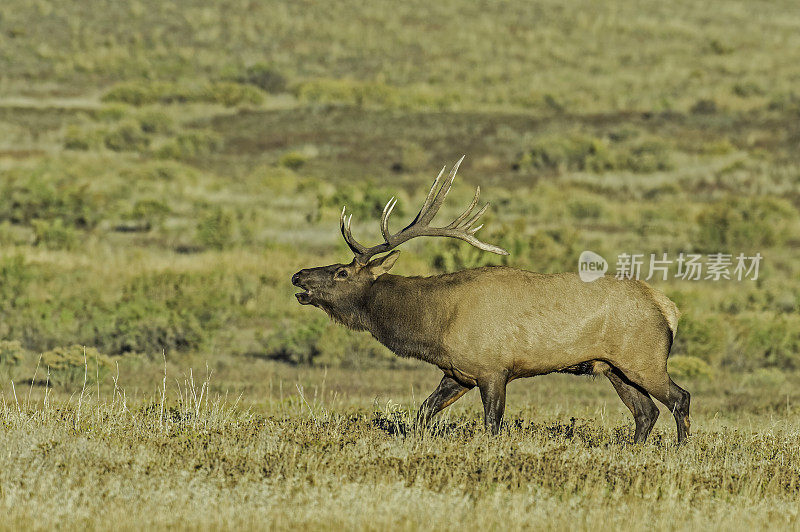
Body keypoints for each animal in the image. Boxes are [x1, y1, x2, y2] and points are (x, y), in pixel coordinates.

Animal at [290, 156, 692, 442]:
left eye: (341, 272)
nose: (298, 275)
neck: (435, 325)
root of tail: (669, 308)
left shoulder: (494, 369)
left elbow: (492, 426)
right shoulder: (458, 373)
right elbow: (421, 415)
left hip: (645, 360)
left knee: (679, 398)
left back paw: (680, 451)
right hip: (613, 367)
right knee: (646, 413)